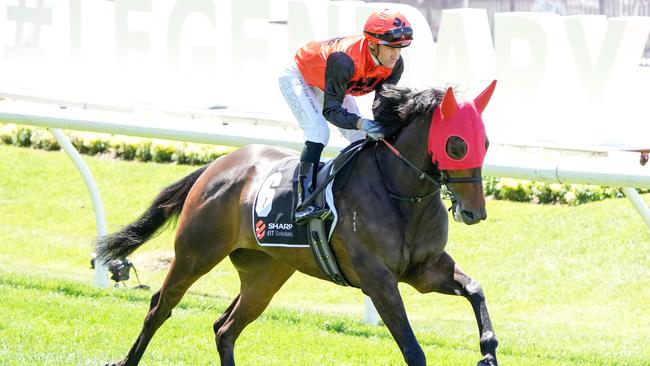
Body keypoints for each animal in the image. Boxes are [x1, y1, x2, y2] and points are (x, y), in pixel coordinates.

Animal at [98, 81, 498, 366]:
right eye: (457, 145)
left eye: (486, 143)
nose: (474, 212)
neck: (399, 193)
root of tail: (218, 165)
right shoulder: (377, 279)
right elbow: (412, 349)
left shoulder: (424, 271)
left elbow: (475, 288)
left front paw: (488, 352)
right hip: (195, 254)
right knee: (160, 306)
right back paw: (125, 359)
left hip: (265, 273)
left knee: (225, 328)